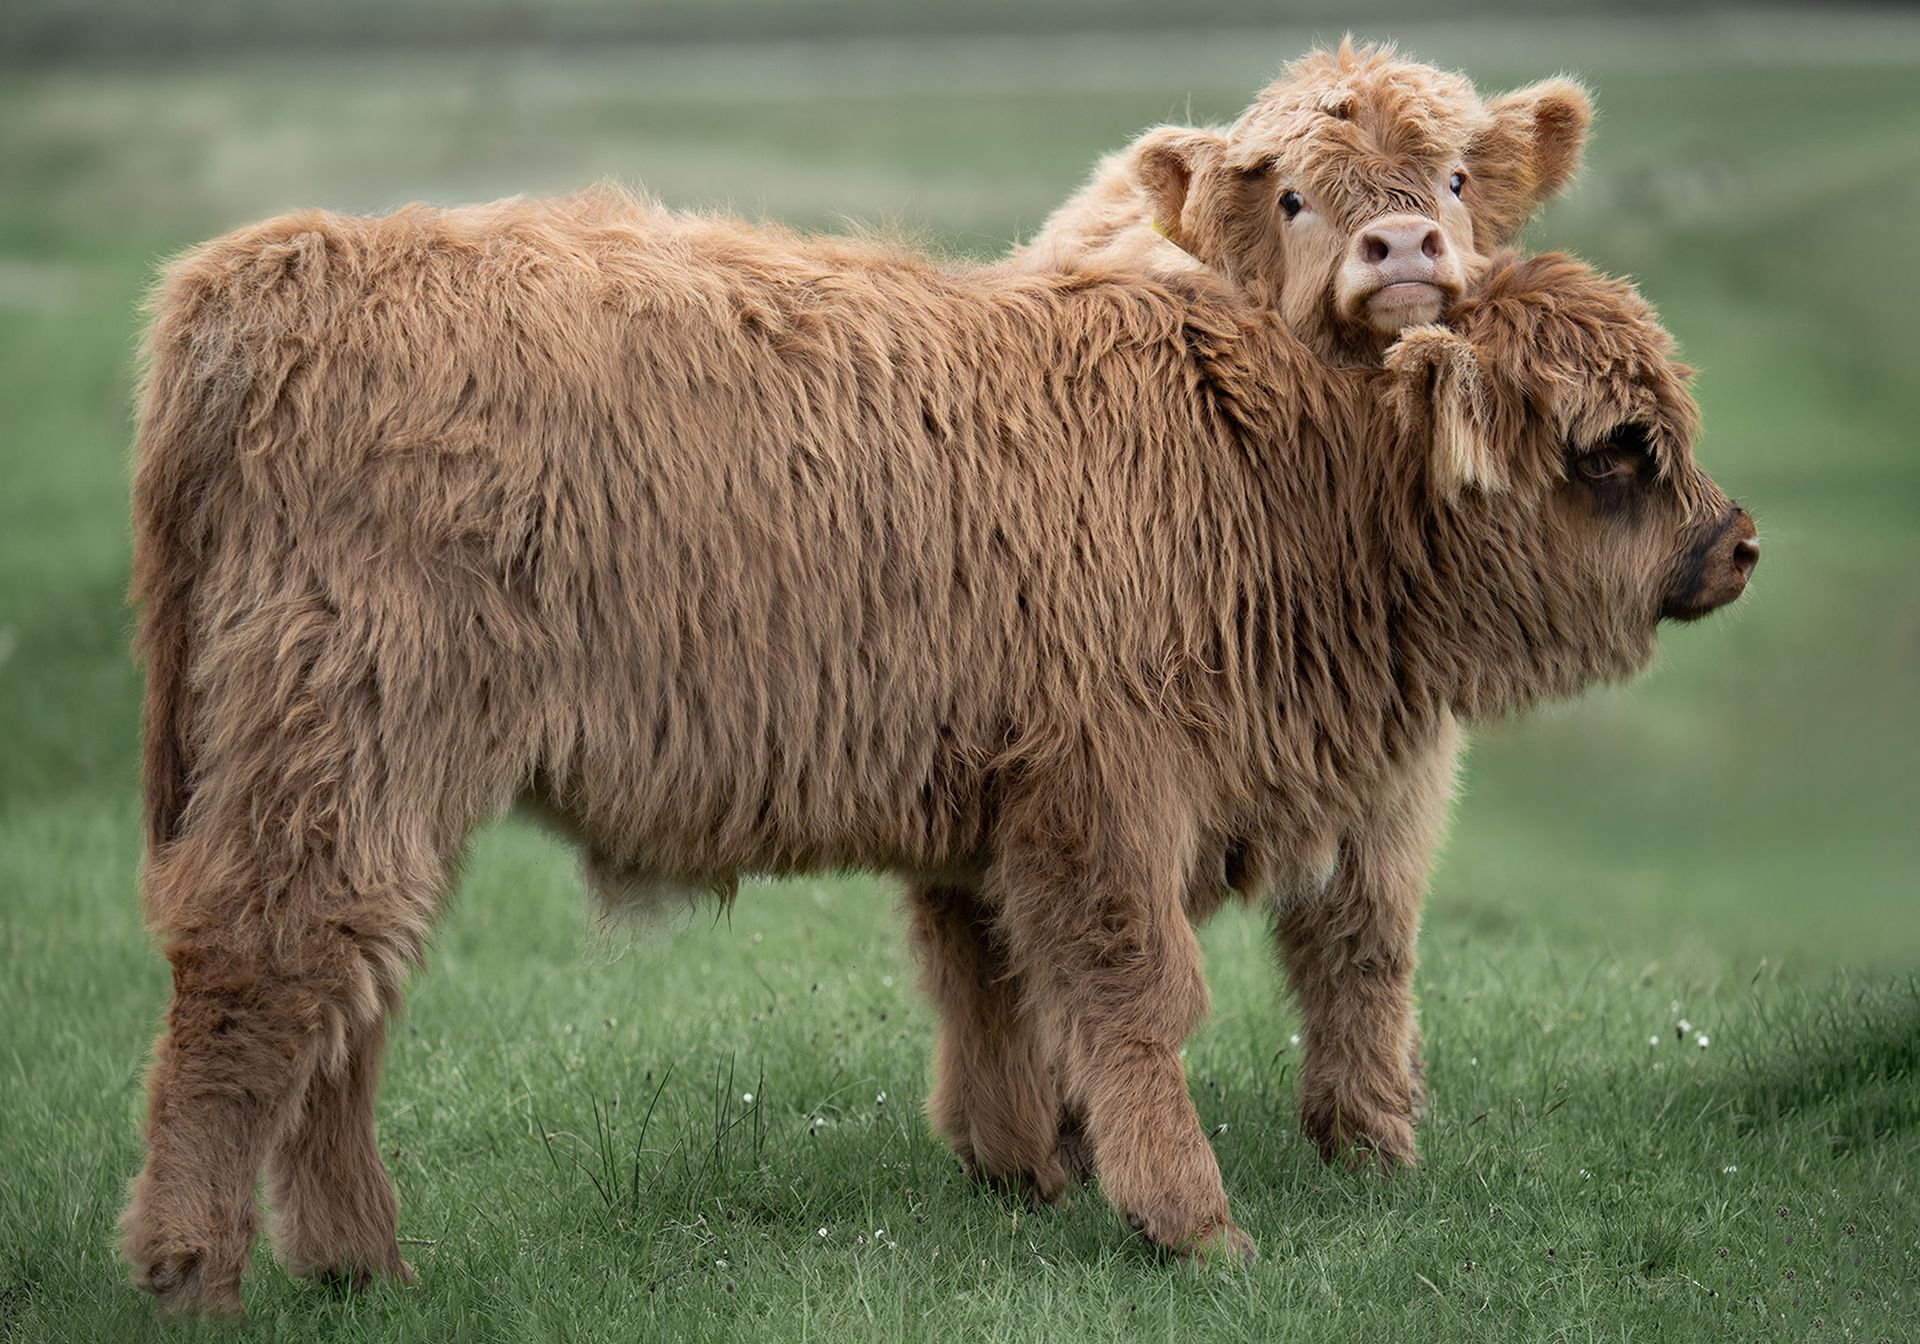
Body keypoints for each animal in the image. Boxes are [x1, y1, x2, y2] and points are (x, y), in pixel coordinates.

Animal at [120, 185, 1755, 1315]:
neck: (1276, 477)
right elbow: (1137, 1000)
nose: (1736, 542)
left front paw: (1025, 1176)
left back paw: (360, 1268)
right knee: (263, 979)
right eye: (1619, 449)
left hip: (381, 795)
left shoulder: (999, 822)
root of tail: (274, 268)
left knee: (346, 997)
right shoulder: (1106, 804)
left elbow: (1003, 997)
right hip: (340, 760)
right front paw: (1197, 1226)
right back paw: (195, 1270)